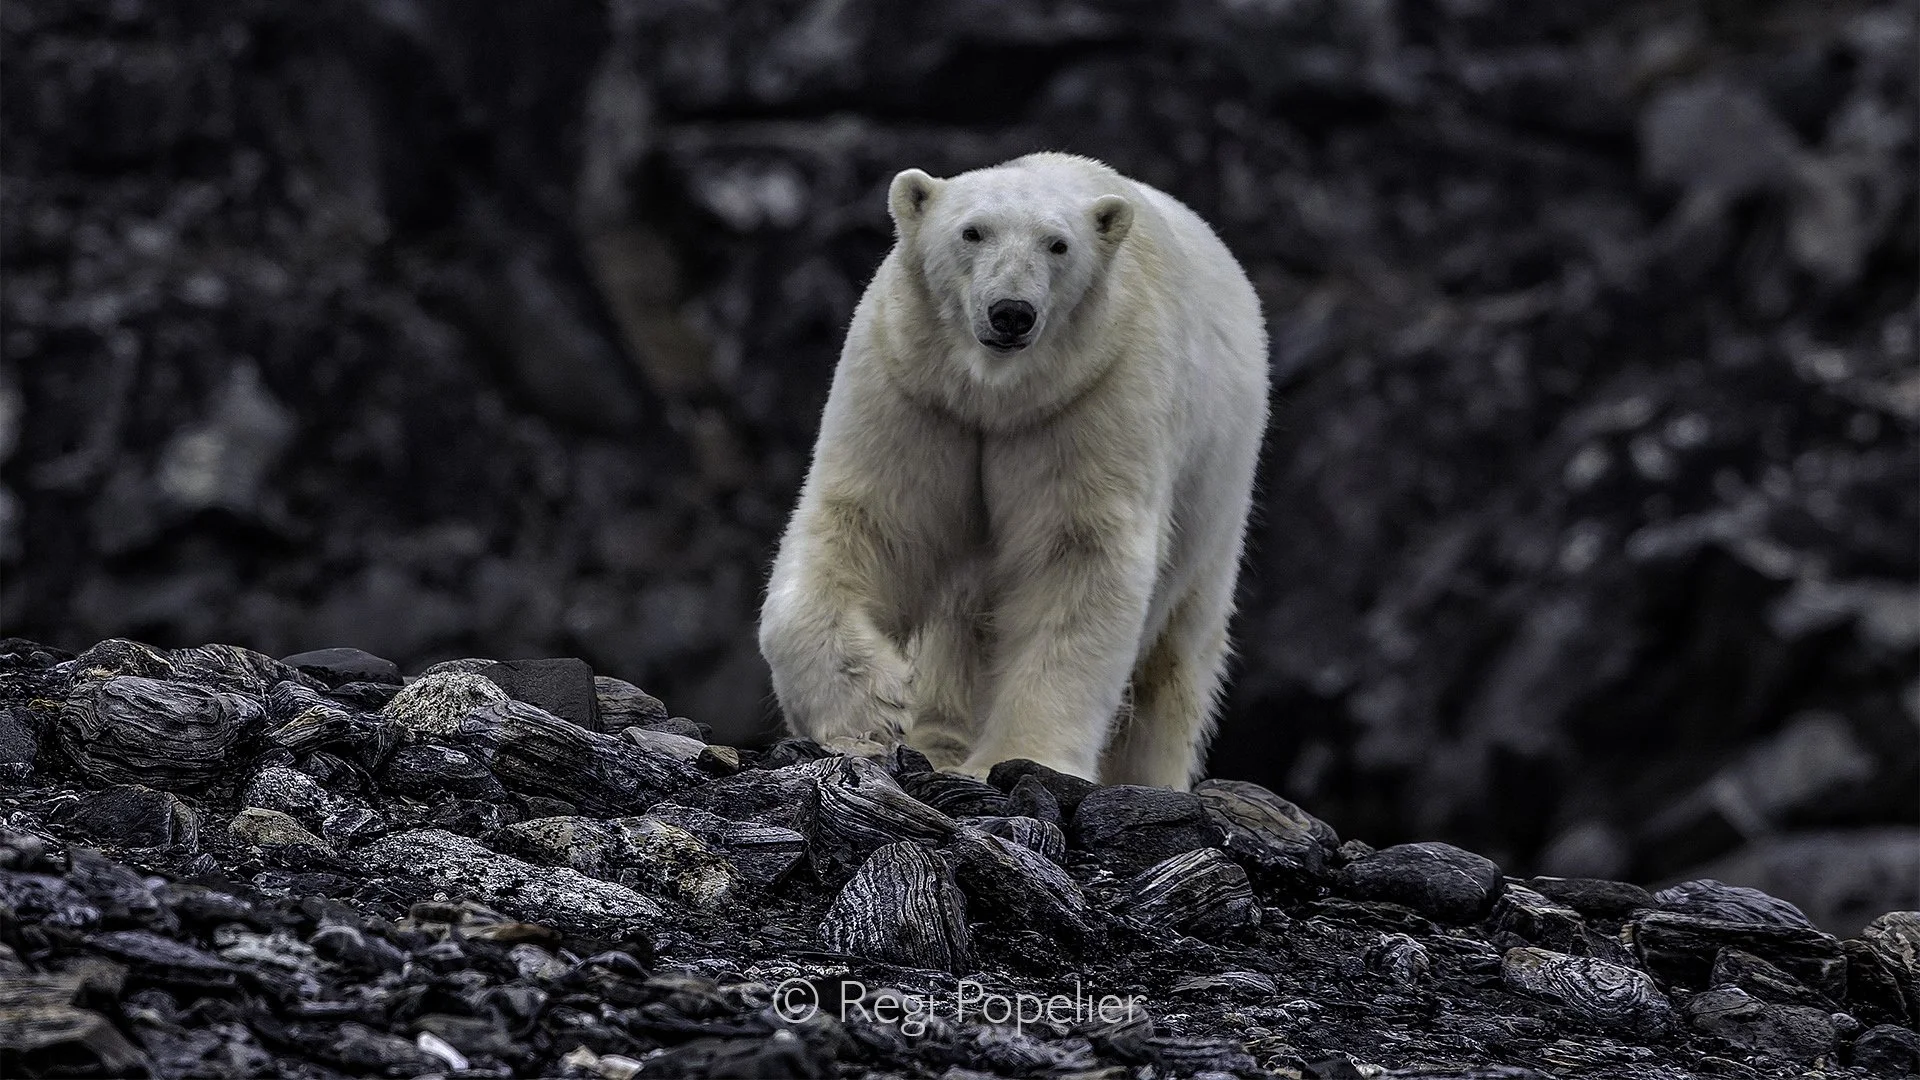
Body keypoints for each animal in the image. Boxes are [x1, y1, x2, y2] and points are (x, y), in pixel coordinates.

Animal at [758, 152, 1269, 789]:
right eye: (972, 232)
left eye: (1059, 244)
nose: (1011, 313)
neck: (995, 396)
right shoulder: (916, 388)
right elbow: (869, 520)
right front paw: (874, 708)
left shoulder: (1092, 392)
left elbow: (1075, 554)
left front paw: (1021, 757)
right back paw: (938, 739)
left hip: (1216, 494)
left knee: (1176, 656)